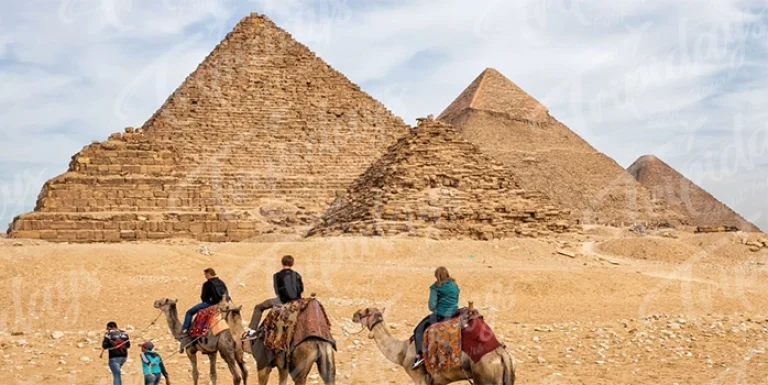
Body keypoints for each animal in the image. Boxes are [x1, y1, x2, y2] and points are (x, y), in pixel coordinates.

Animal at [354, 306, 516, 384]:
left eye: (365, 312)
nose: (354, 314)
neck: (402, 351)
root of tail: (502, 355)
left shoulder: (419, 378)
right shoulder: (437, 381)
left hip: (485, 376)